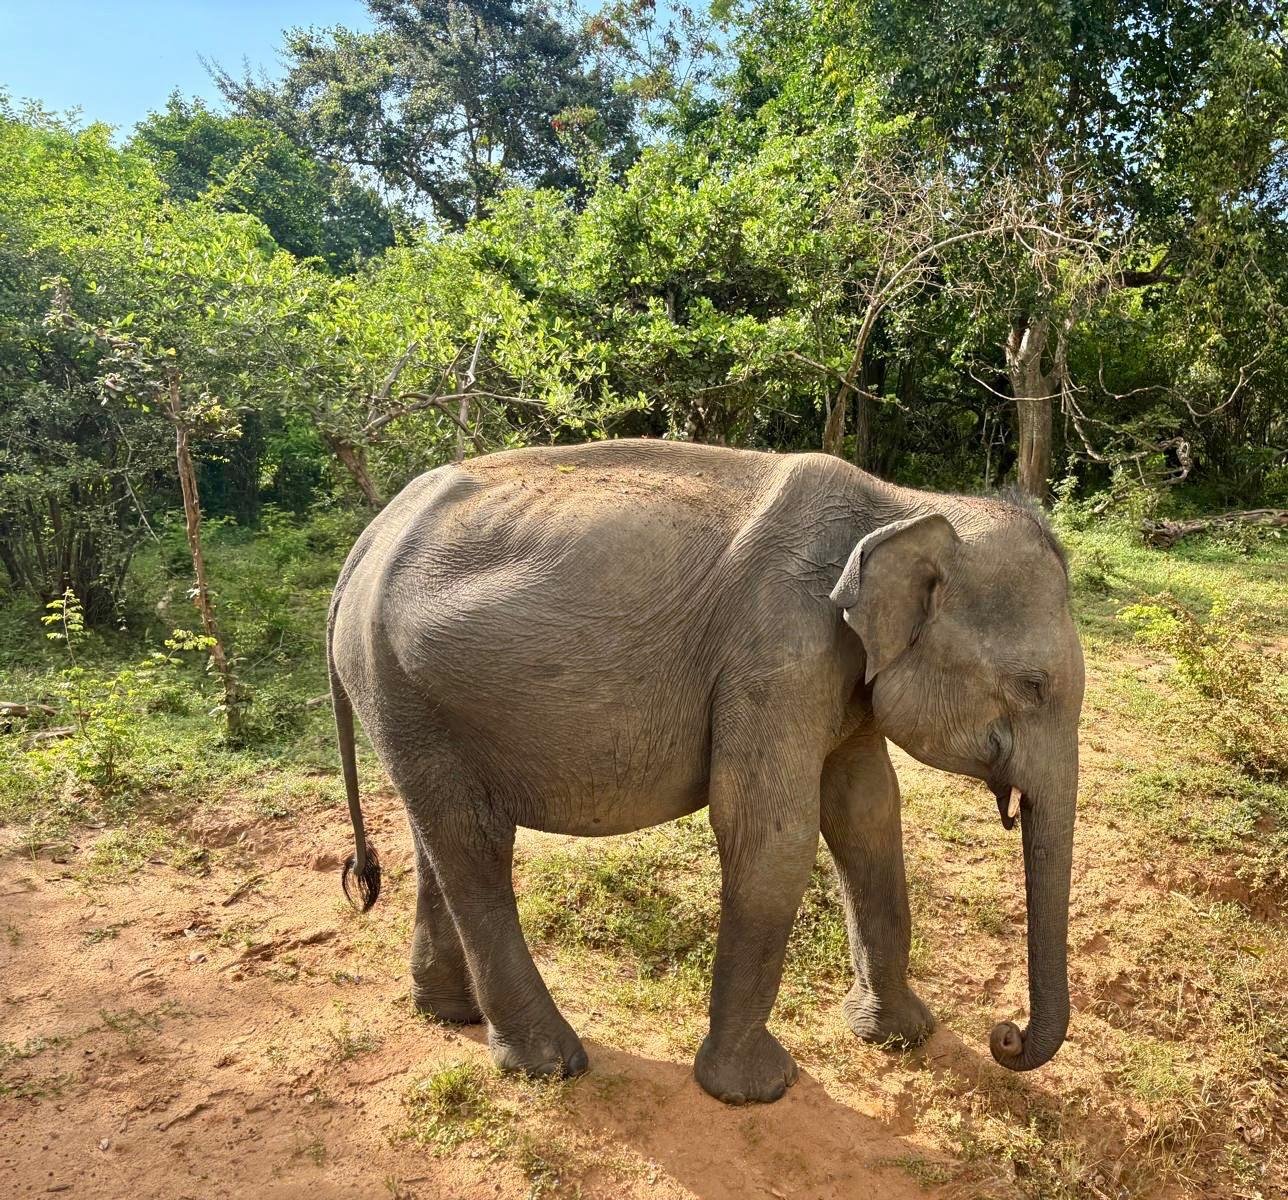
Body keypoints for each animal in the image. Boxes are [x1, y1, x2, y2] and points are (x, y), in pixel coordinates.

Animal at [327, 438, 1083, 1104]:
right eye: (1033, 686)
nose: (1006, 1037)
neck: (902, 505)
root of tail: (364, 543)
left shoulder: (842, 678)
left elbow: (867, 811)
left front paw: (903, 1037)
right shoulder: (776, 653)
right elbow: (770, 833)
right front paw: (758, 1091)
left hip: (410, 702)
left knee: (437, 836)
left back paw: (448, 1014)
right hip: (401, 685)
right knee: (474, 843)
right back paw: (550, 1065)